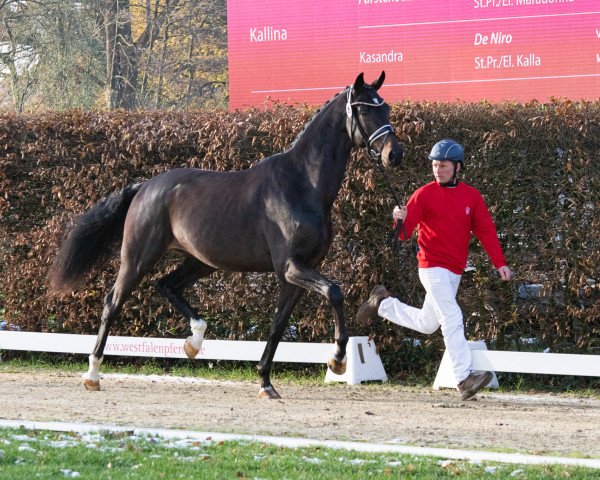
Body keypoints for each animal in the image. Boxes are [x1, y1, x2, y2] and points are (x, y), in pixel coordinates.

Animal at [47, 72, 404, 398]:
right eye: (365, 109)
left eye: (385, 107)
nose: (394, 155)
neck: (302, 185)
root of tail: (144, 186)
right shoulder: (291, 267)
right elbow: (334, 292)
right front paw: (338, 360)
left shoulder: (295, 274)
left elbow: (278, 324)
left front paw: (265, 382)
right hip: (137, 258)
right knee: (113, 303)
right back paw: (92, 374)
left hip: (201, 261)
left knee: (166, 285)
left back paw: (194, 341)